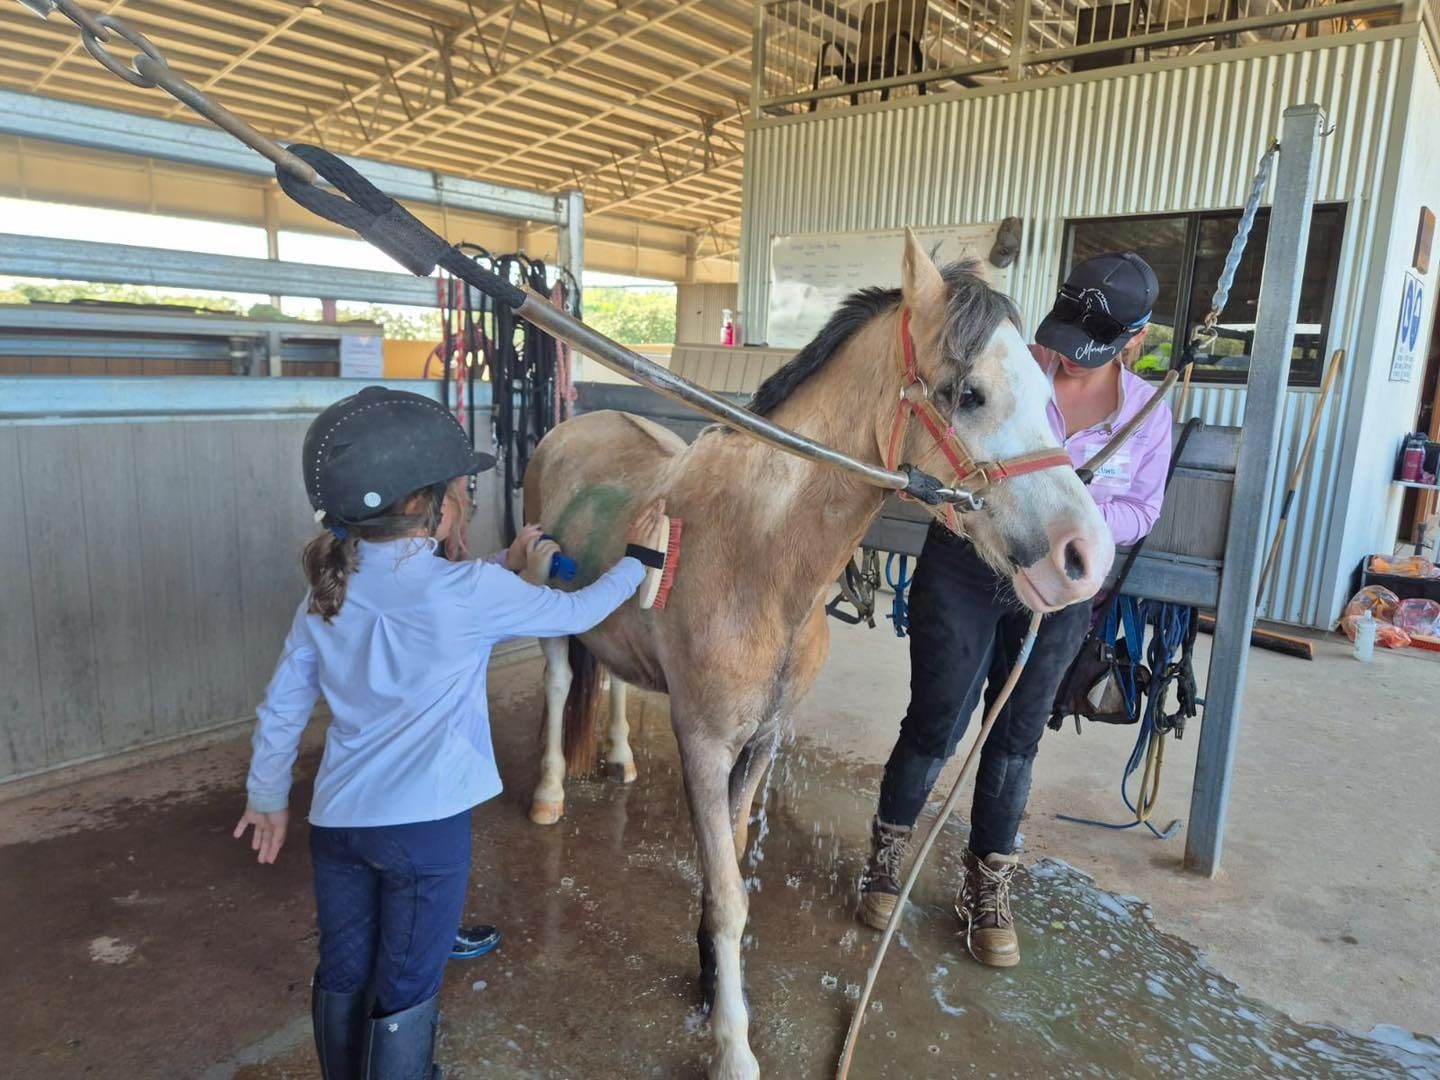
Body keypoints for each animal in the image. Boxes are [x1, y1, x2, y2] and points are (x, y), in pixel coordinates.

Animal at [519, 231, 1114, 1079]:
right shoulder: (704, 743)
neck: (759, 558)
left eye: (1048, 392)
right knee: (560, 680)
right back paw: (547, 795)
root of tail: (572, 427)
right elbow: (730, 892)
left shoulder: (764, 740)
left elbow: (728, 864)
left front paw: (710, 981)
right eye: (968, 393)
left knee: (615, 688)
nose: (1085, 557)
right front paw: (733, 1045)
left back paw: (621, 760)